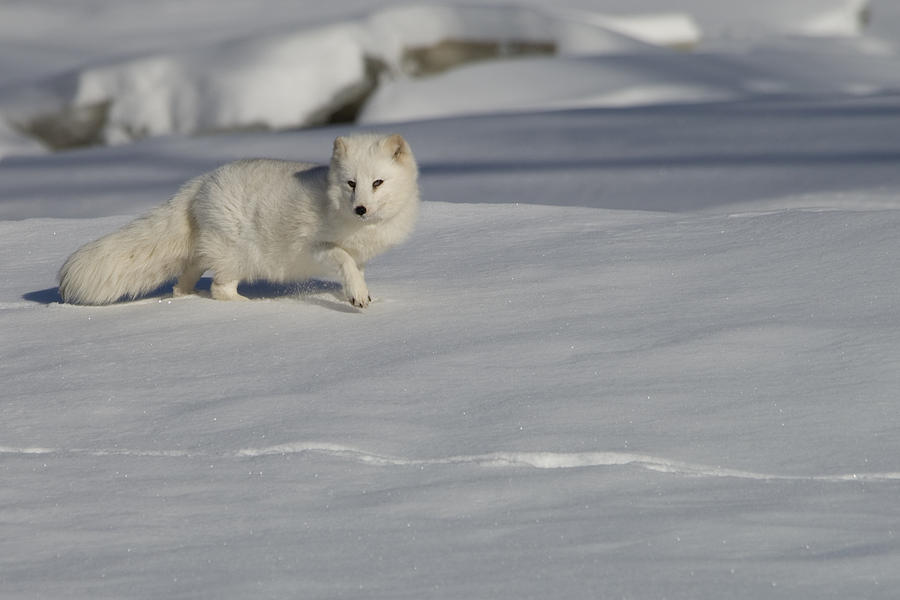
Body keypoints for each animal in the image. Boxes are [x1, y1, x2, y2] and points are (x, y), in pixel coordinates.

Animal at [58, 134, 420, 308]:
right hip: (238, 256)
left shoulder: (361, 256)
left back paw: (187, 296)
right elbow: (344, 260)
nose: (361, 209)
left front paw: (361, 293)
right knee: (219, 289)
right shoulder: (318, 246)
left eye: (377, 183)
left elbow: (355, 271)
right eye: (351, 183)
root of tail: (201, 181)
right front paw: (357, 296)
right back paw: (250, 306)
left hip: (207, 252)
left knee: (182, 282)